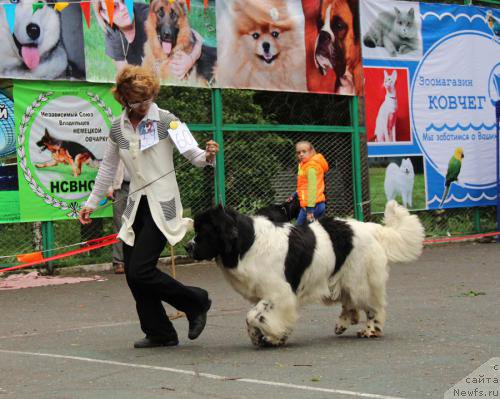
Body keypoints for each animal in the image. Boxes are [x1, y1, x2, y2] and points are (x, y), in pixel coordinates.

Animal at [186, 202, 424, 348]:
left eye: (203, 232)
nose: (188, 247)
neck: (247, 243)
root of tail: (371, 228)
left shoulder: (279, 294)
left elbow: (254, 315)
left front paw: (273, 336)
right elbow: (253, 316)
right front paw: (261, 336)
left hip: (360, 279)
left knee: (373, 306)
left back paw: (370, 330)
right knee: (350, 302)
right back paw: (343, 323)